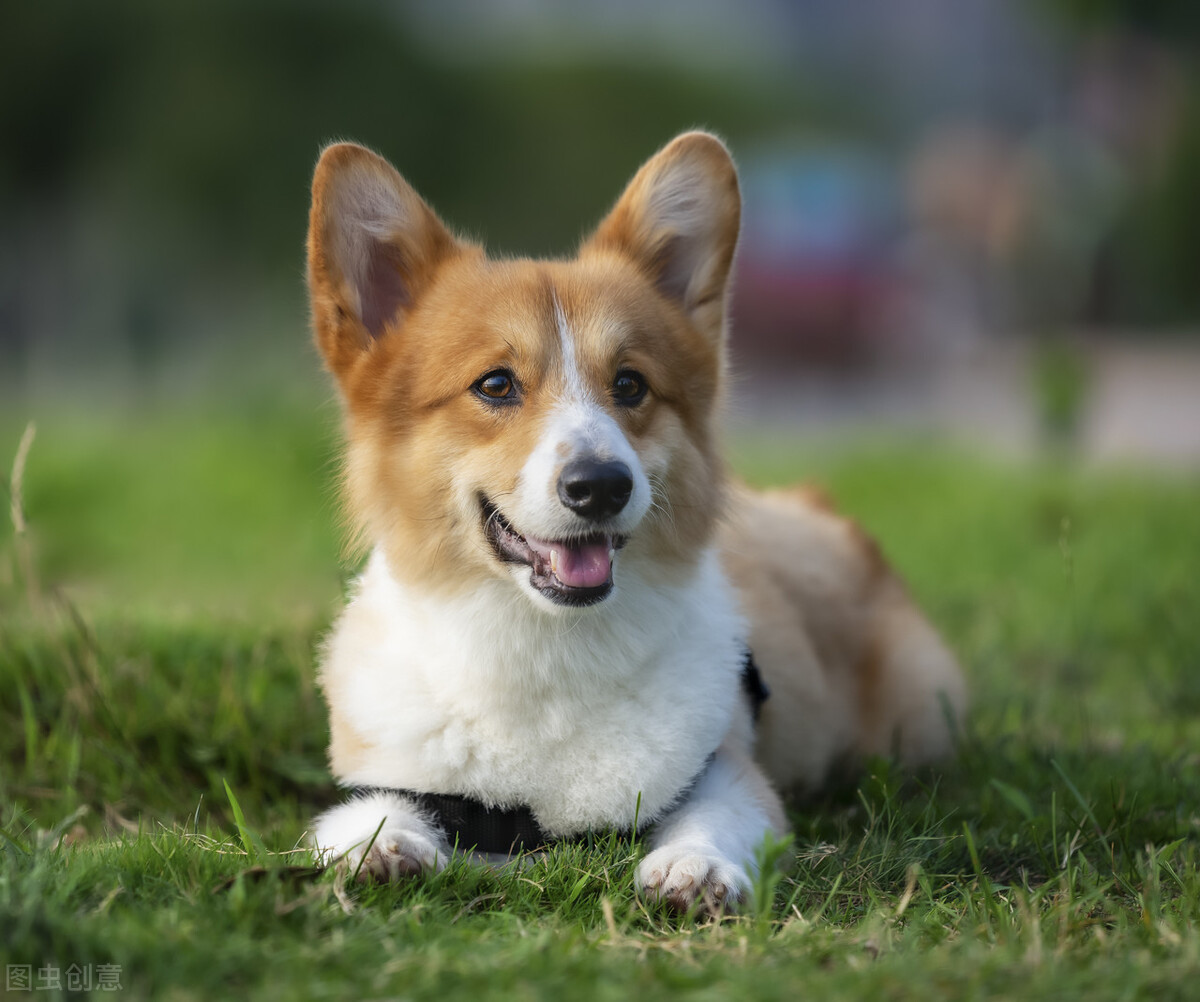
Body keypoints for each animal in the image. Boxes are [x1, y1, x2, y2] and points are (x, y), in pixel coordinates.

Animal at [309, 131, 964, 907]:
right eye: (495, 384)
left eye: (630, 384)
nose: (601, 486)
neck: (547, 652)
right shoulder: (392, 775)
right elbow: (367, 814)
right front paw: (382, 847)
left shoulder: (730, 772)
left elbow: (717, 815)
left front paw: (695, 865)